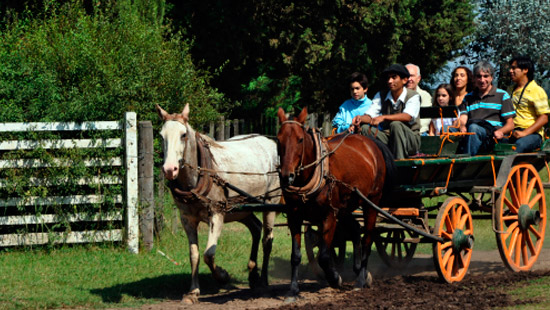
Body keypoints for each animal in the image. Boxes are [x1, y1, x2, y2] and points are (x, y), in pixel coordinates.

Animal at [156, 104, 280, 302]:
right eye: (161, 136)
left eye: (183, 135)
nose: (169, 169)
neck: (199, 175)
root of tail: (269, 142)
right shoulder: (187, 219)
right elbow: (194, 254)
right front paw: (193, 292)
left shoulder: (217, 214)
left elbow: (209, 254)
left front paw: (222, 276)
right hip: (240, 210)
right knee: (255, 228)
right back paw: (253, 274)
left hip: (270, 203)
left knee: (267, 240)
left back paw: (263, 280)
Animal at [278, 107, 394, 300]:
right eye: (278, 140)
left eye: (300, 139)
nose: (287, 176)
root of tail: (371, 143)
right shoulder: (294, 217)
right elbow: (296, 255)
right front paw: (293, 290)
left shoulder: (329, 216)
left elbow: (324, 256)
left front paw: (335, 278)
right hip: (345, 207)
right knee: (355, 231)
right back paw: (359, 271)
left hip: (371, 203)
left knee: (367, 239)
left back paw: (360, 280)